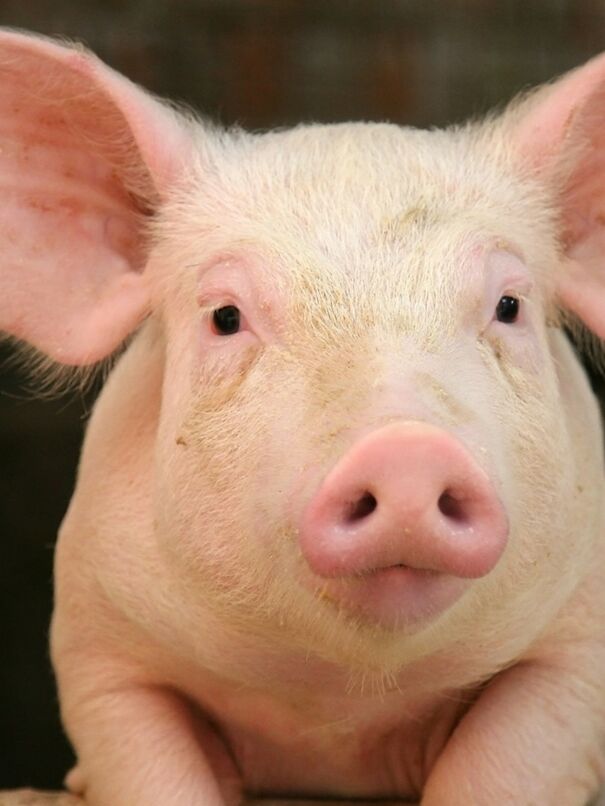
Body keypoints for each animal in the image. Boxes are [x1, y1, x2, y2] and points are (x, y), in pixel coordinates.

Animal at [1, 27, 605, 806]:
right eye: (226, 317)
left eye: (508, 306)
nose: (405, 450)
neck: (339, 708)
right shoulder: (98, 642)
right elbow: (149, 763)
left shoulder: (576, 646)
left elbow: (503, 764)